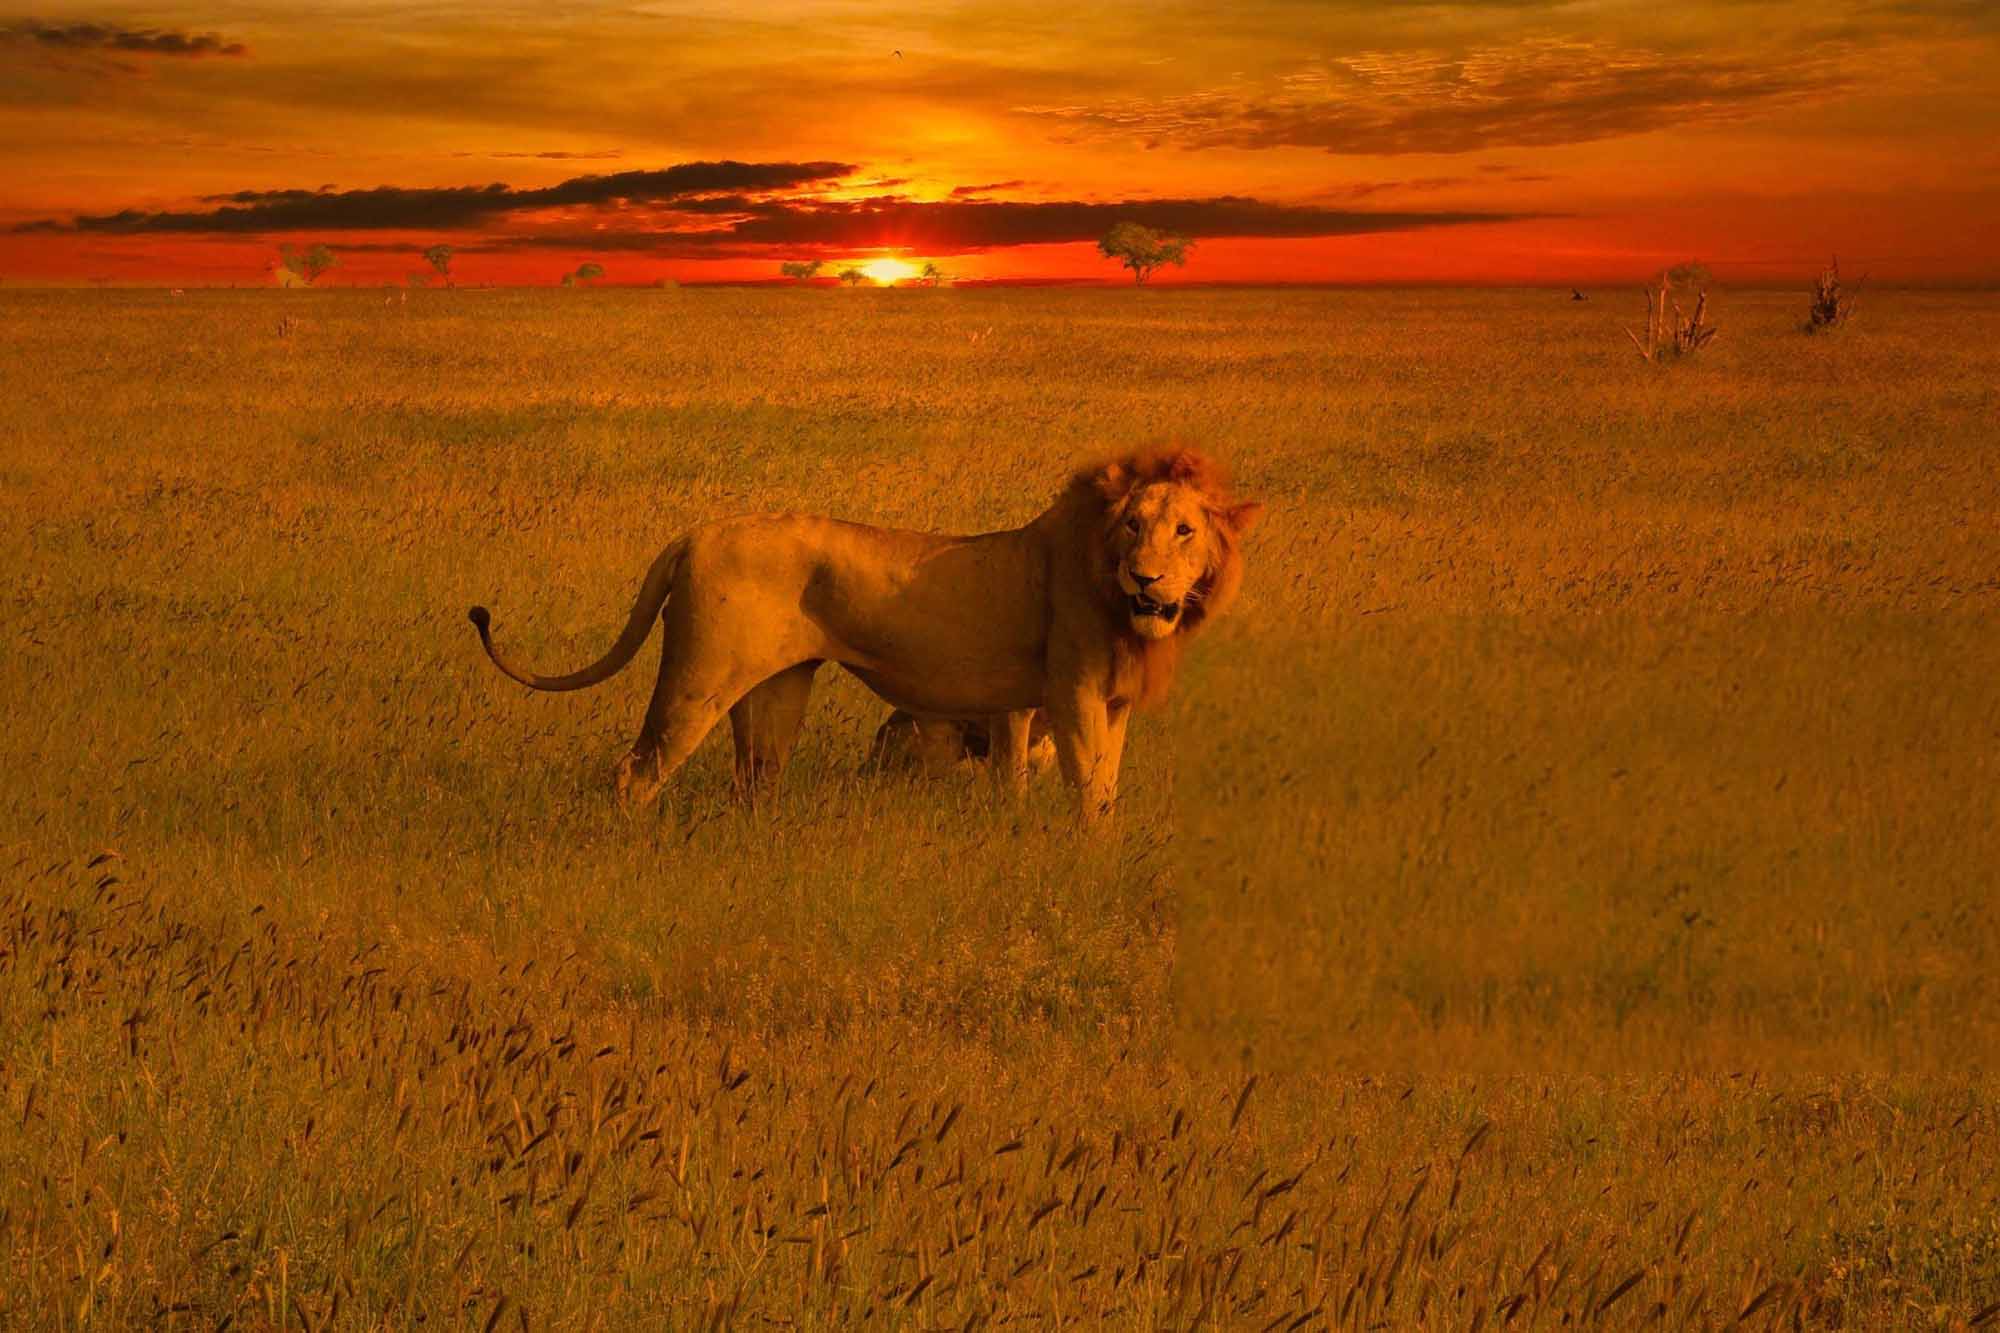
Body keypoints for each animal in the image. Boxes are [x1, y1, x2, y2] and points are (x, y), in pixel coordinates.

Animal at [469, 447, 1261, 822]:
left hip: (774, 689)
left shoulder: (1108, 704)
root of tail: (695, 533)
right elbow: (1087, 792)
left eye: (1184, 531)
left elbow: (1103, 785)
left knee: (754, 779)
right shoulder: (1070, 696)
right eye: (1132, 525)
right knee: (637, 771)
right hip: (698, 677)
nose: (1147, 579)